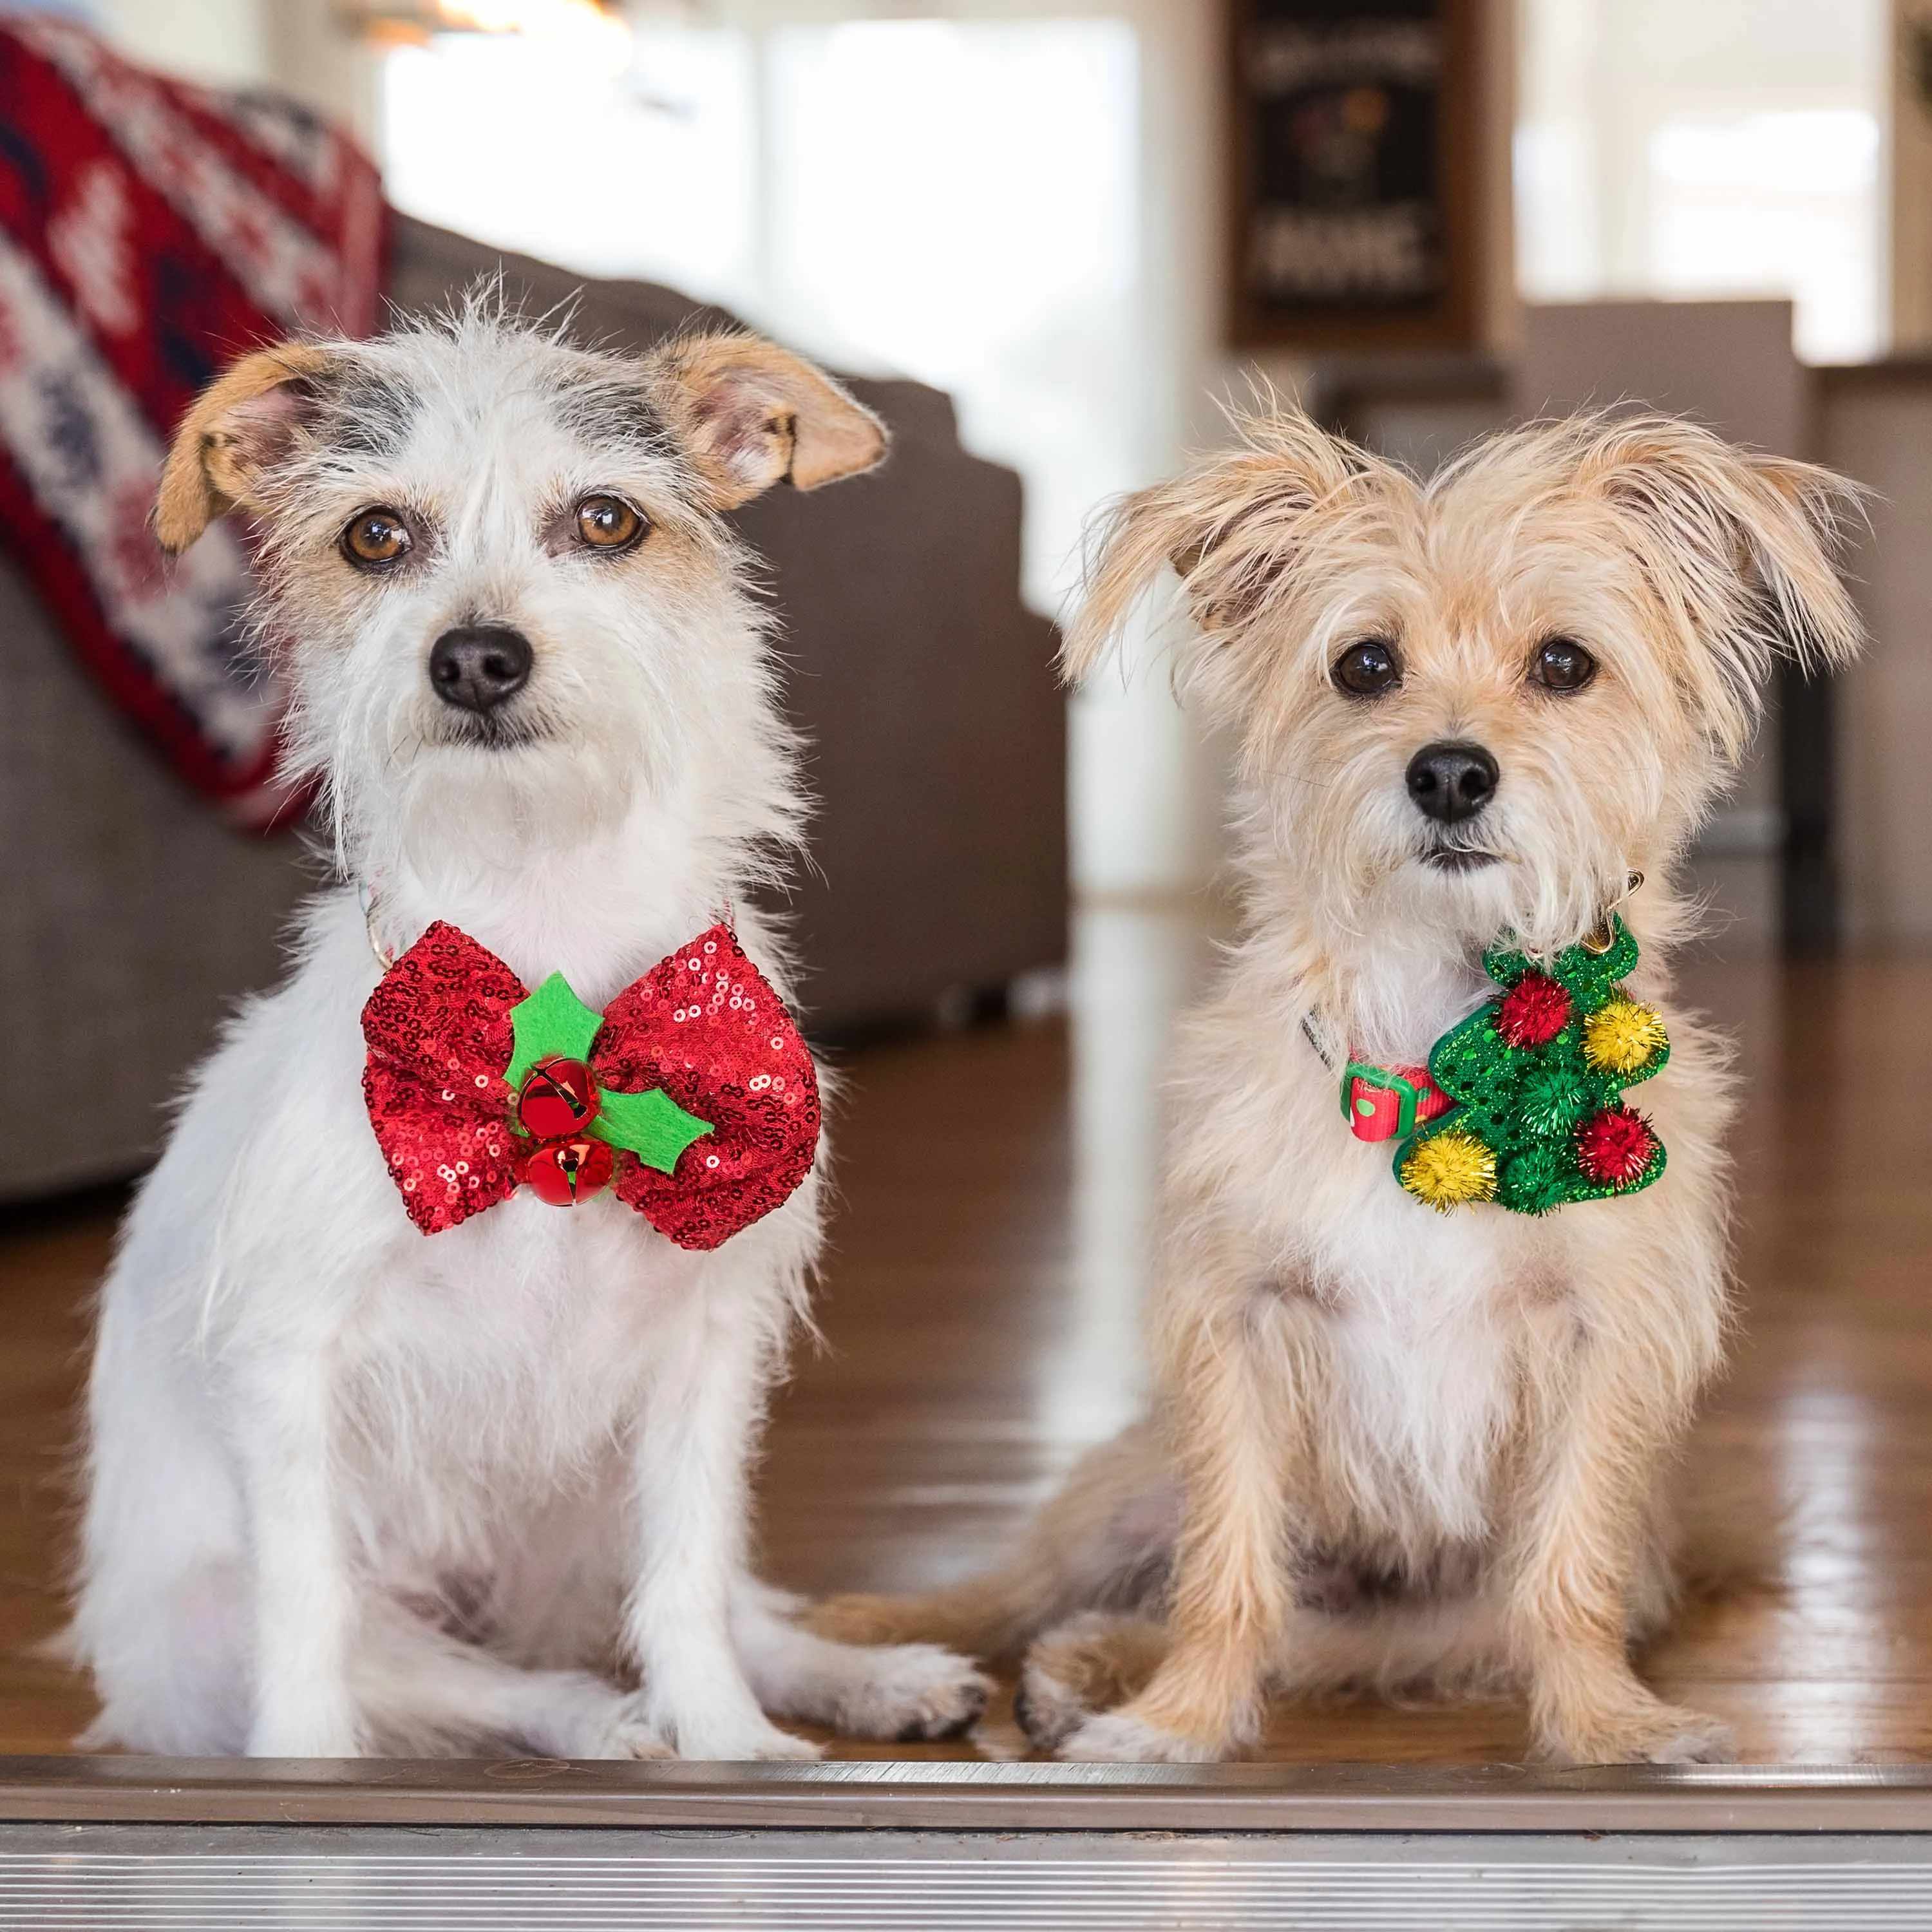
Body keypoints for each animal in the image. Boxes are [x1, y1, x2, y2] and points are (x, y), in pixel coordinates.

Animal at [73, 301, 989, 1770]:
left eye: (608, 521)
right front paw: (305, 1779)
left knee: (722, 1609)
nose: (475, 657)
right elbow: (309, 1624)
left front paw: (732, 1748)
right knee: (482, 1681)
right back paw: (604, 1724)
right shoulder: (294, 1366)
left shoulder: (702, 1355)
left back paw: (864, 1682)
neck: (544, 943)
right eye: (375, 537)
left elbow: (689, 1589)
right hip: (227, 1626)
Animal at [819, 408, 1870, 1770]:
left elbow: (1567, 1576)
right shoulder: (1240, 1330)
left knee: (1253, 1634)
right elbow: (1226, 1571)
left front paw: (1608, 1725)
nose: (1451, 774)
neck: (1440, 1051)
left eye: (1565, 664)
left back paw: (1076, 1674)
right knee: (1021, 1586)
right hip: (1126, 1488)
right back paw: (885, 1635)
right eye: (1366, 666)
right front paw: (1179, 1727)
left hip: (1425, 1632)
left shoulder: (1603, 1350)